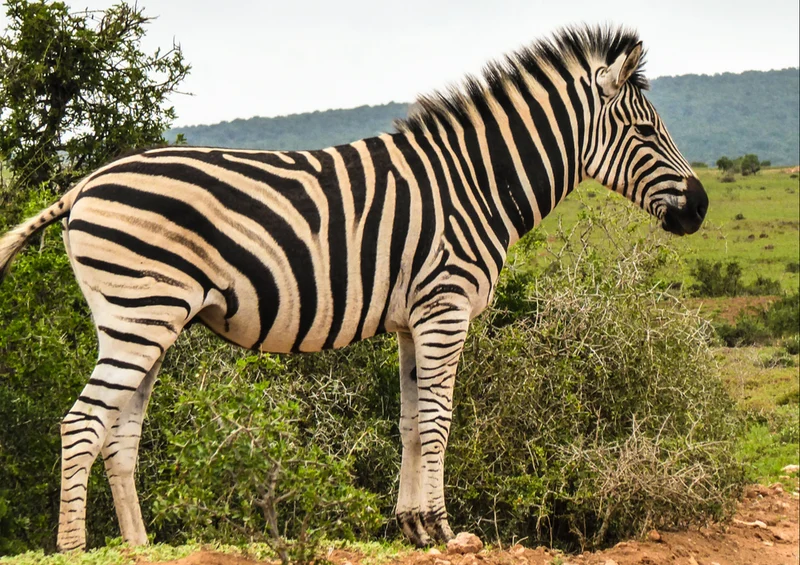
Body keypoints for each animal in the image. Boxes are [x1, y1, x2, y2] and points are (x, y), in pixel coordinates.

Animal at [0, 25, 707, 551]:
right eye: (647, 132)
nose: (700, 209)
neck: (477, 182)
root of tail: (81, 186)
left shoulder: (414, 319)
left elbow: (410, 421)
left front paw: (414, 526)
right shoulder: (446, 306)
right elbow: (440, 420)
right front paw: (446, 529)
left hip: (141, 317)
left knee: (119, 436)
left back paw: (140, 546)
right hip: (140, 312)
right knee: (82, 423)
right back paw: (73, 547)